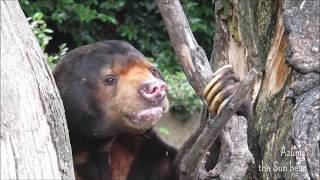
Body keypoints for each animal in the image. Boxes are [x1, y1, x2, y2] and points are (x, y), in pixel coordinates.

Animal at [53, 40, 241, 180]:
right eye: (110, 79)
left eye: (153, 70)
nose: (156, 89)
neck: (98, 147)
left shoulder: (143, 153)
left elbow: (180, 167)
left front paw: (224, 87)